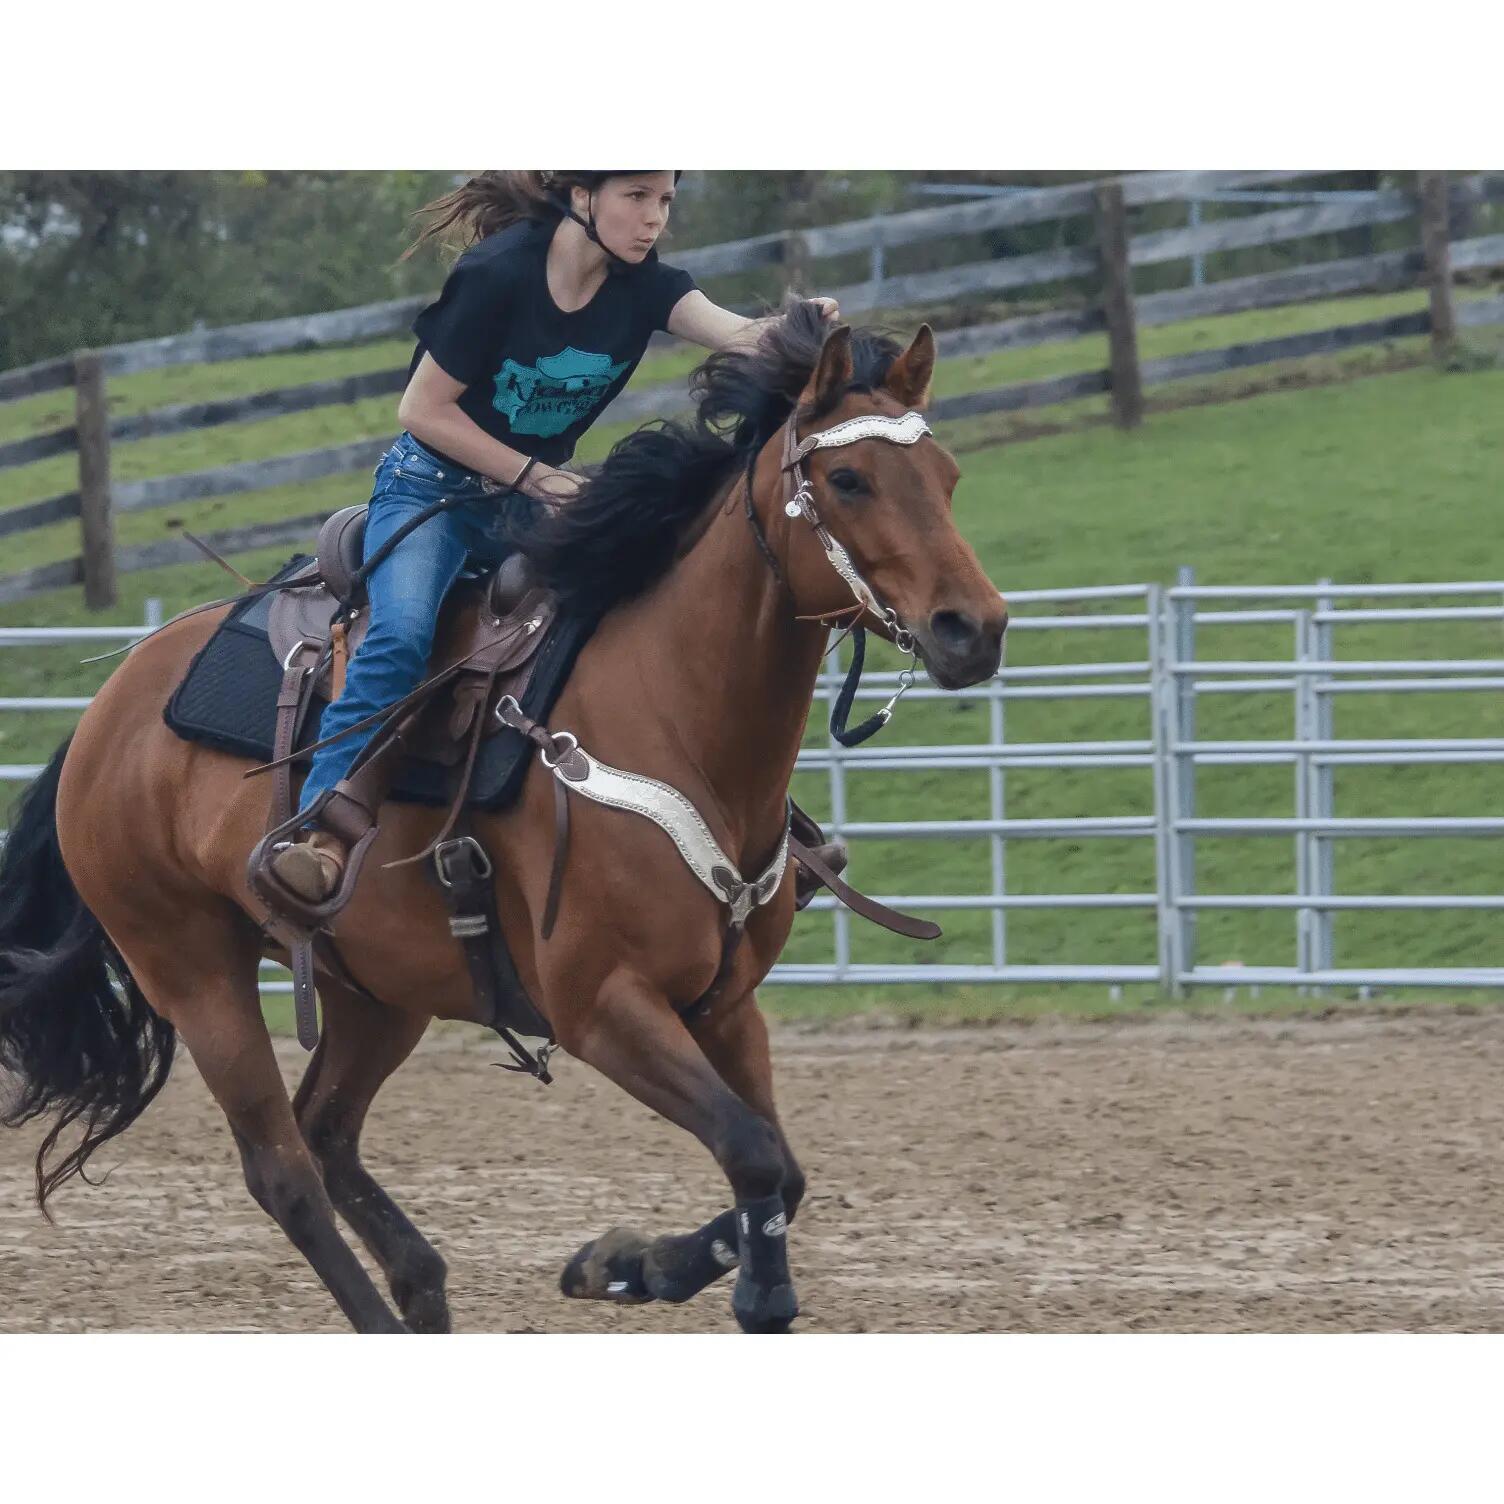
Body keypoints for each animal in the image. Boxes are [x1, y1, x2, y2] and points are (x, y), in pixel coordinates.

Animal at [0, 302, 1007, 1333]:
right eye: (847, 479)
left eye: (948, 477)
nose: (975, 628)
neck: (673, 716)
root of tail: (108, 710)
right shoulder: (604, 1005)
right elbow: (754, 1155)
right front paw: (664, 1271)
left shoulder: (724, 1006)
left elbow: (781, 1169)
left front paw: (631, 1265)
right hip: (193, 969)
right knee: (282, 1170)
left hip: (375, 991)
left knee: (326, 1131)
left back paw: (423, 1285)